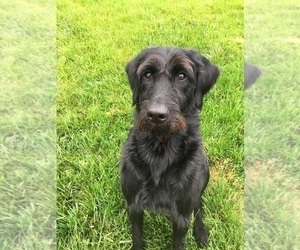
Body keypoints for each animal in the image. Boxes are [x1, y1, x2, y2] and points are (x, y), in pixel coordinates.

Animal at [119, 47, 220, 250]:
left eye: (182, 75)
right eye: (147, 74)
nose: (156, 115)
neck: (160, 150)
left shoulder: (181, 217)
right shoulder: (133, 206)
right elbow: (137, 237)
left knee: (198, 205)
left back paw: (201, 231)